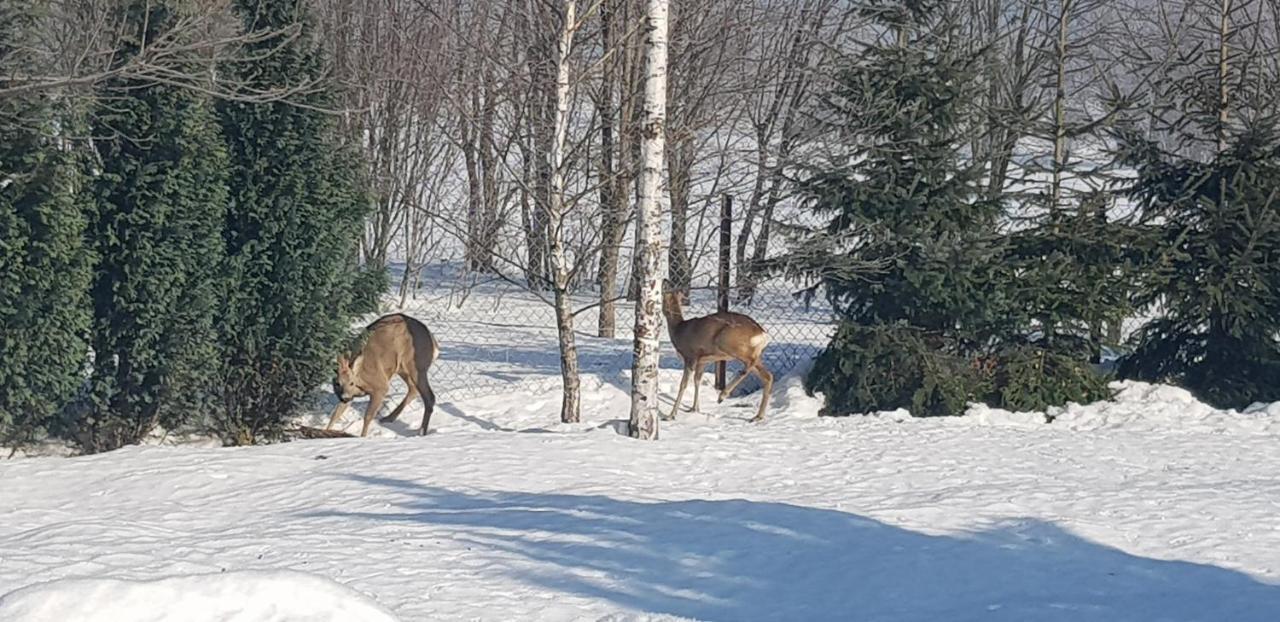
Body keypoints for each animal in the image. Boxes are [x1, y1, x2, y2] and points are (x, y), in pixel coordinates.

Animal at [665, 286, 773, 422]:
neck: (678, 330)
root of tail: (762, 333)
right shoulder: (702, 361)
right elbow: (697, 381)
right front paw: (694, 408)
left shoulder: (691, 356)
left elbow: (683, 384)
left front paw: (671, 415)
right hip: (750, 351)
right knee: (768, 376)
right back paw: (758, 416)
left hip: (726, 341)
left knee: (749, 364)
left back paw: (722, 395)